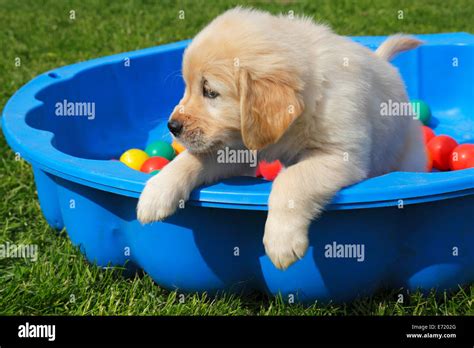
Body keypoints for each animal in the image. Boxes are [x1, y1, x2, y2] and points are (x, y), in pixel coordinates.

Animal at [137, 7, 426, 270]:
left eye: (210, 92)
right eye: (188, 86)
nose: (172, 126)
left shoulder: (341, 154)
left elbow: (292, 179)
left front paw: (281, 240)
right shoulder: (239, 147)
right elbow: (192, 158)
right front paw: (155, 192)